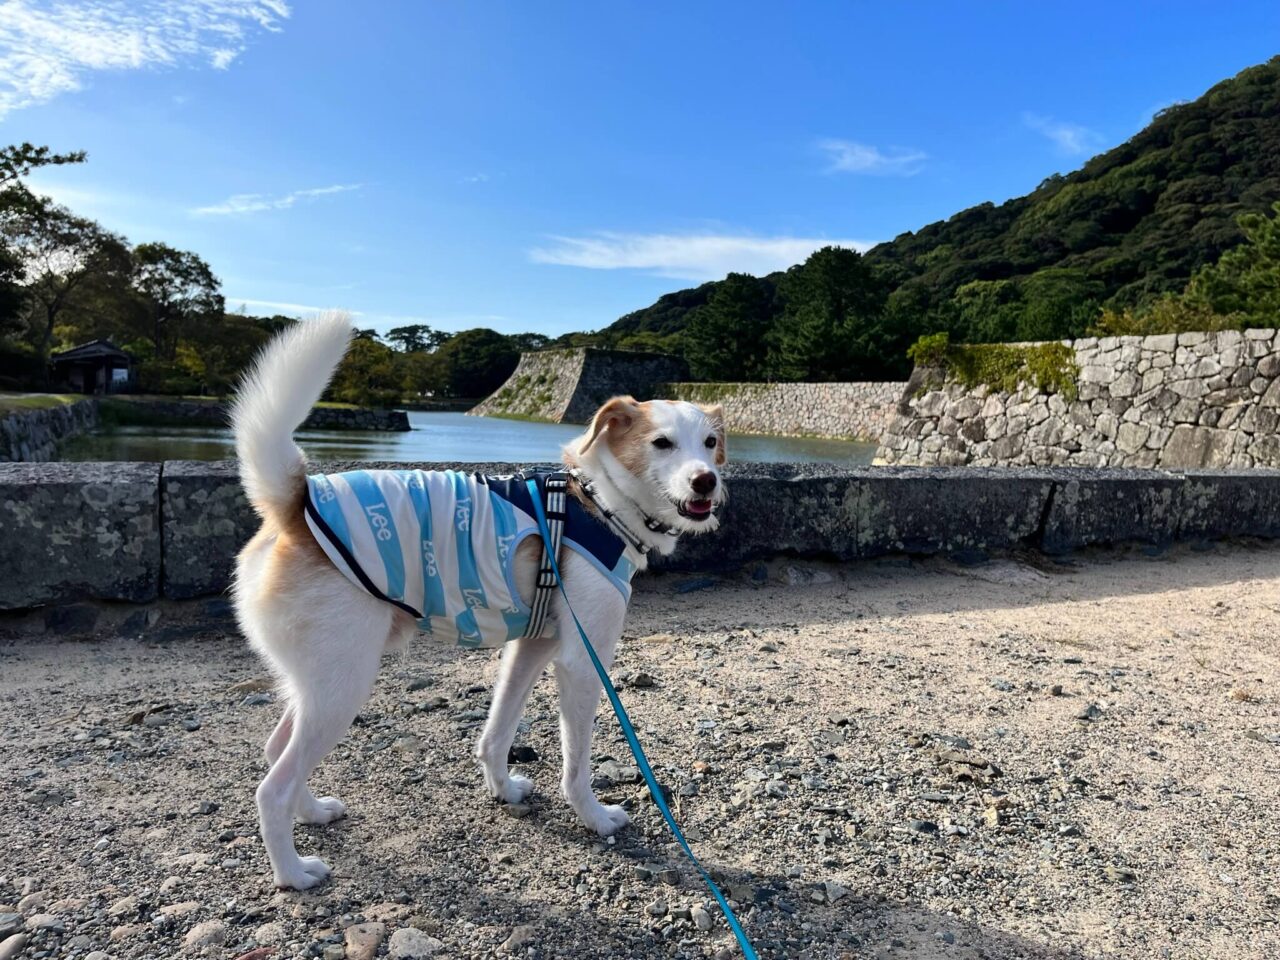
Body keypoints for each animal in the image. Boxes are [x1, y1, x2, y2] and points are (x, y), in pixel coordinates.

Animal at [231, 312, 732, 890]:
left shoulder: (532, 647)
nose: (706, 480)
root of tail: (295, 503)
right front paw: (593, 816)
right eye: (662, 443)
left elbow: (498, 728)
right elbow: (576, 763)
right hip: (343, 683)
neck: (596, 502)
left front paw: (503, 788)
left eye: (710, 442)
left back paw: (312, 812)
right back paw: (293, 872)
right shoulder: (582, 663)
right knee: (273, 785)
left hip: (316, 680)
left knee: (278, 753)